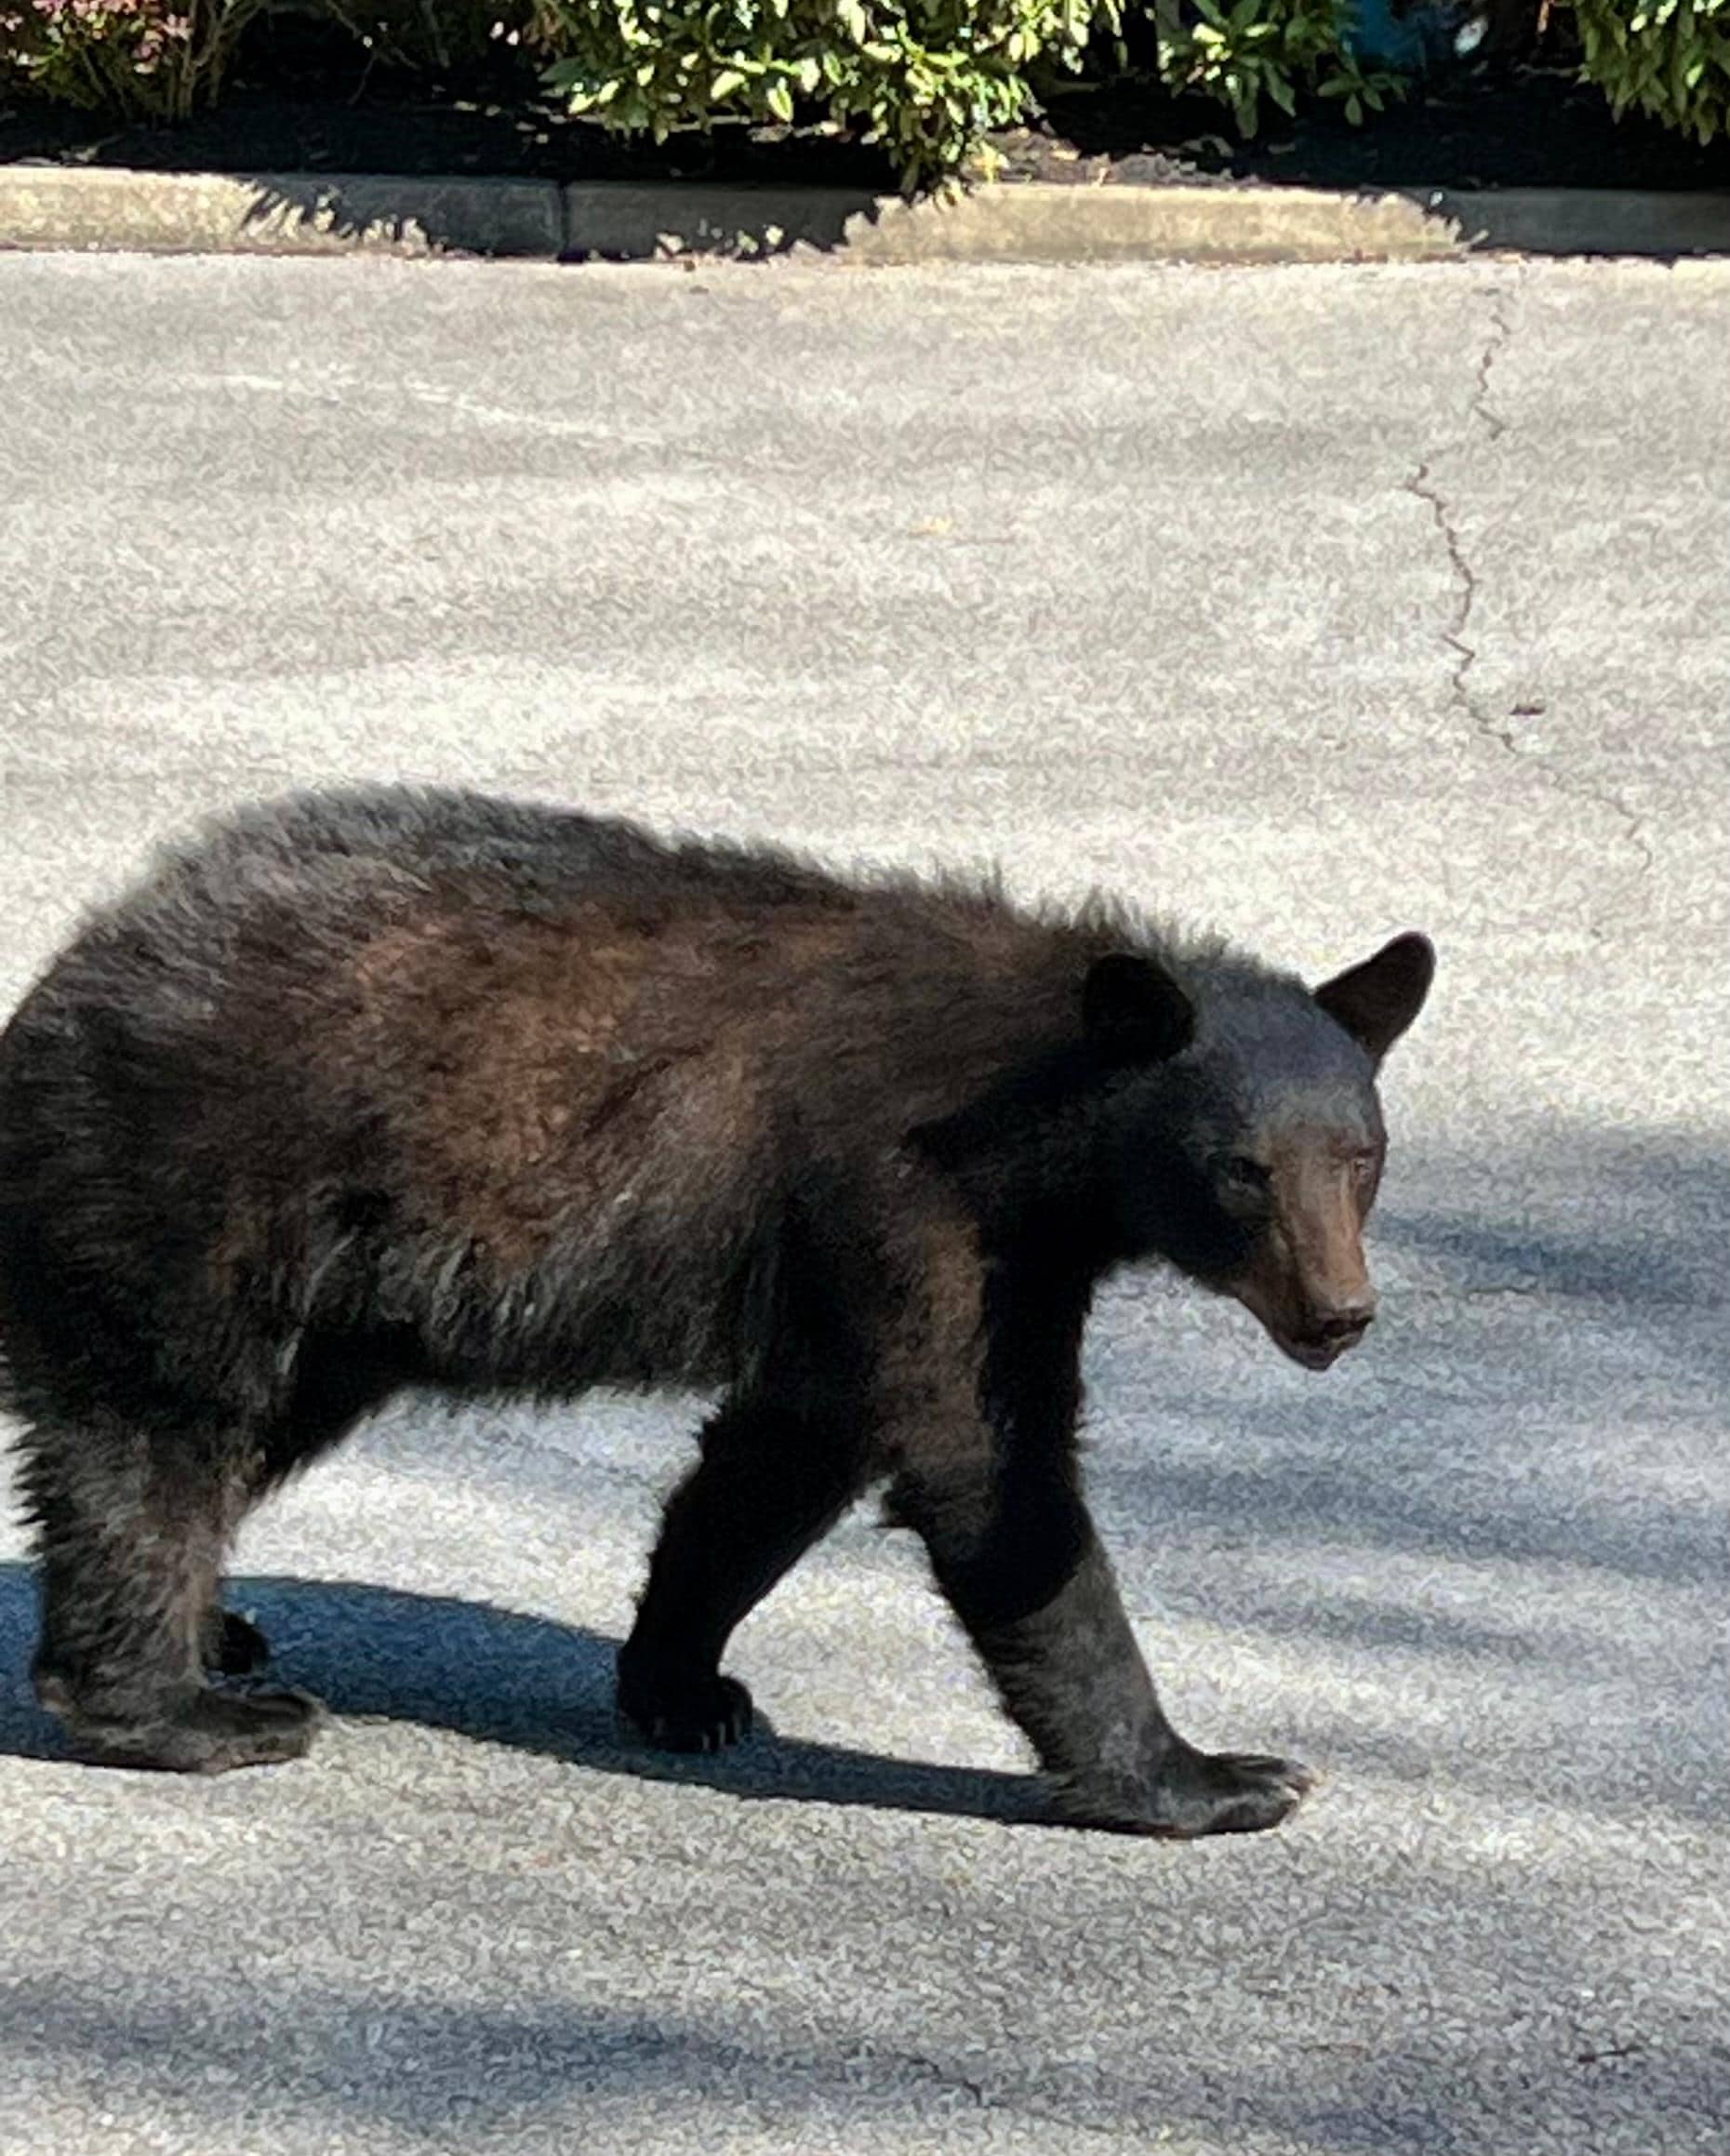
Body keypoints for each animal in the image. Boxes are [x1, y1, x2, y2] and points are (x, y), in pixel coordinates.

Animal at [0, 787, 1433, 1836]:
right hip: (200, 1181)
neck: (1040, 1110)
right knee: (160, 1428)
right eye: (1241, 1169)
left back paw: (220, 1630)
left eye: (1360, 1154)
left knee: (243, 1426)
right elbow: (988, 1469)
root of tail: (70, 971)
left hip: (334, 1297)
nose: (1339, 1313)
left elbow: (779, 1458)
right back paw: (182, 1706)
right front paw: (1212, 1774)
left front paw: (683, 1682)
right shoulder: (910, 1196)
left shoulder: (885, 1257)